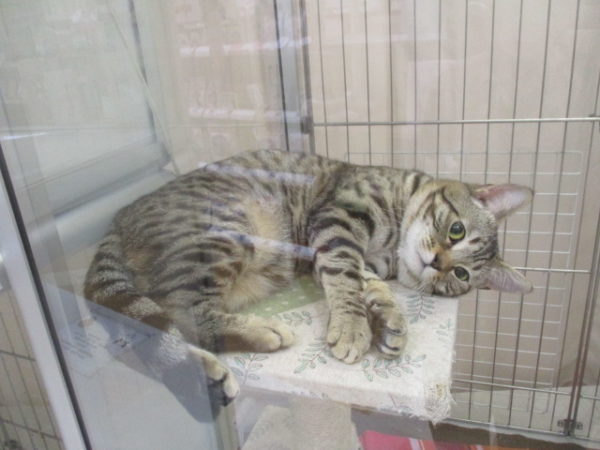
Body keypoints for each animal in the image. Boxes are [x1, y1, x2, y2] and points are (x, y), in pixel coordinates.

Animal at [84, 149, 533, 409]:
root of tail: (118, 218)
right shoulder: (338, 222)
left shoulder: (356, 256)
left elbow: (369, 285)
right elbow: (345, 277)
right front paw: (353, 325)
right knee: (184, 314)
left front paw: (388, 320)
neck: (392, 239)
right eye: (456, 231)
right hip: (224, 232)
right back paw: (256, 336)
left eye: (461, 273)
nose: (437, 262)